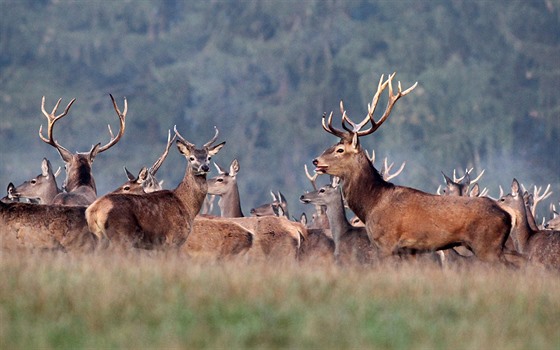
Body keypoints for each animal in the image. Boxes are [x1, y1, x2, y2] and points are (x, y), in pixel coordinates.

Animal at [84, 124, 224, 250]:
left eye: (209, 158)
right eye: (191, 158)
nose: (204, 167)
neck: (186, 205)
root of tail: (93, 211)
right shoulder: (173, 239)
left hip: (100, 239)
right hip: (121, 236)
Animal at [310, 73, 516, 266]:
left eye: (340, 149)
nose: (315, 161)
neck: (371, 205)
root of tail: (507, 216)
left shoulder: (386, 243)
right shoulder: (410, 251)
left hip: (487, 246)